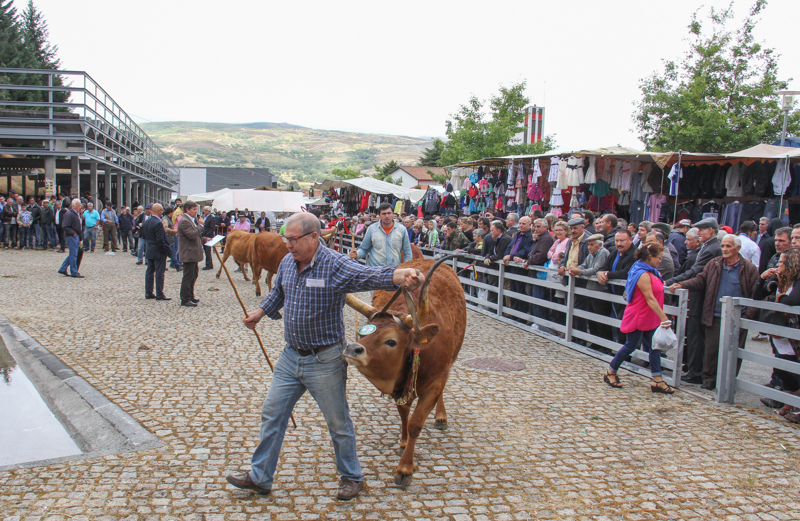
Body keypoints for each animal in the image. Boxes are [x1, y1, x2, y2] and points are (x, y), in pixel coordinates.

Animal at [342, 254, 466, 486]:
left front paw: (405, 468)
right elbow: (403, 413)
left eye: (391, 341)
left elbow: (416, 423)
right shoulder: (398, 387)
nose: (352, 349)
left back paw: (441, 417)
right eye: (362, 334)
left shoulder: (435, 382)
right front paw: (403, 442)